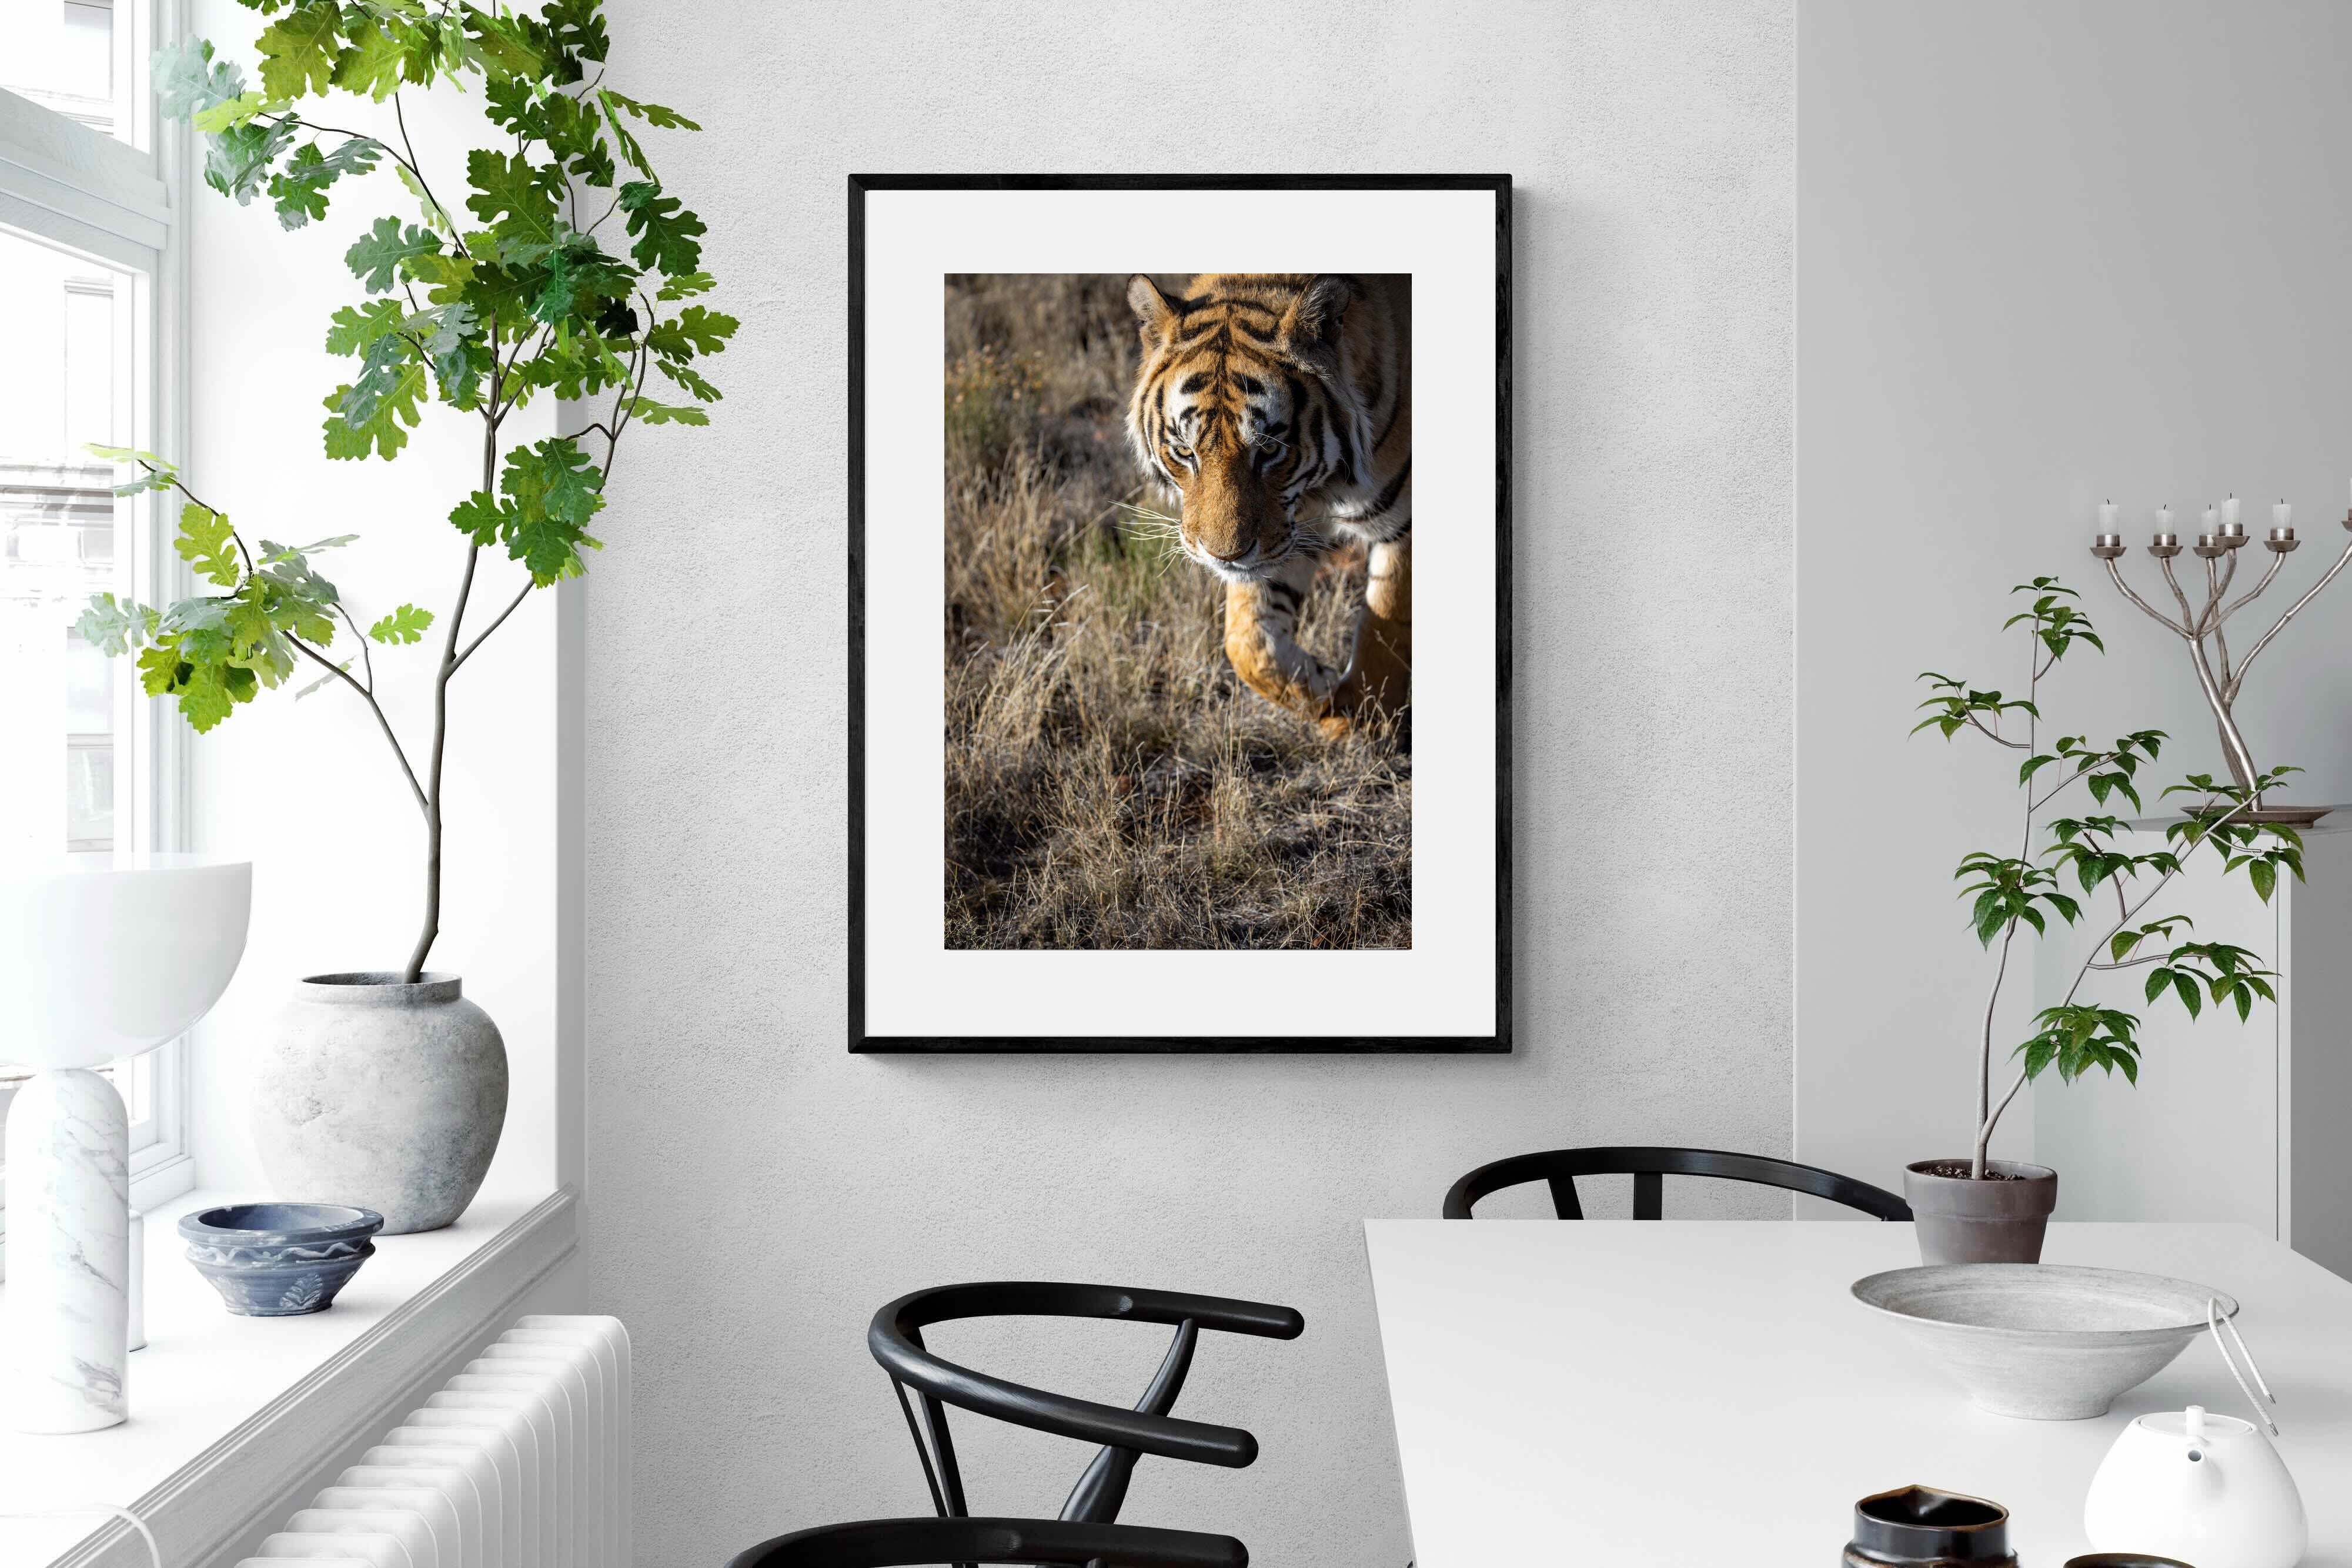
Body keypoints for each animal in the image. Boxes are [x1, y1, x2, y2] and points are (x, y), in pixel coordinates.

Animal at [1124, 273, 1410, 734]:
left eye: (1270, 449)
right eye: (1185, 451)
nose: (1223, 556)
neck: (1322, 489)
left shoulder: (1402, 525)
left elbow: (1384, 626)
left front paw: (1365, 722)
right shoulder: (1287, 535)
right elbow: (1247, 643)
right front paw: (1322, 688)